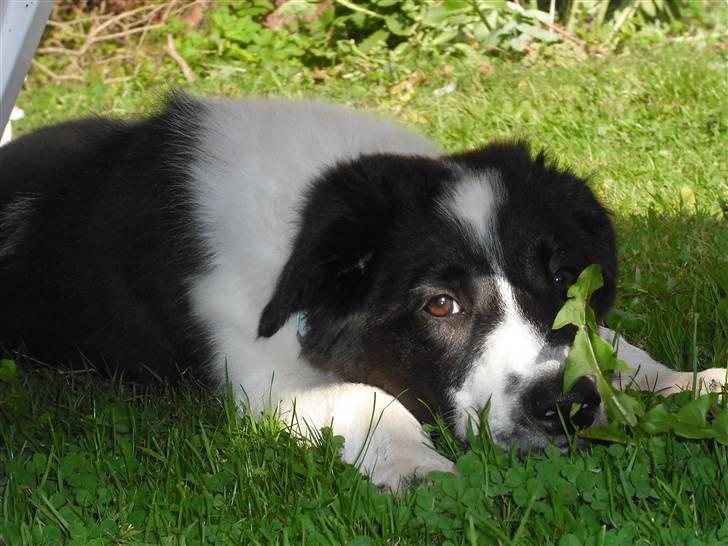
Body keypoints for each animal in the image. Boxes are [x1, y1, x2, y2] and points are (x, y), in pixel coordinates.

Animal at [0, 94, 724, 488]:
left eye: (560, 277)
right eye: (440, 304)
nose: (566, 408)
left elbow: (610, 345)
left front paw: (691, 382)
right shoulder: (262, 377)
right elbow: (366, 395)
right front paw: (418, 469)